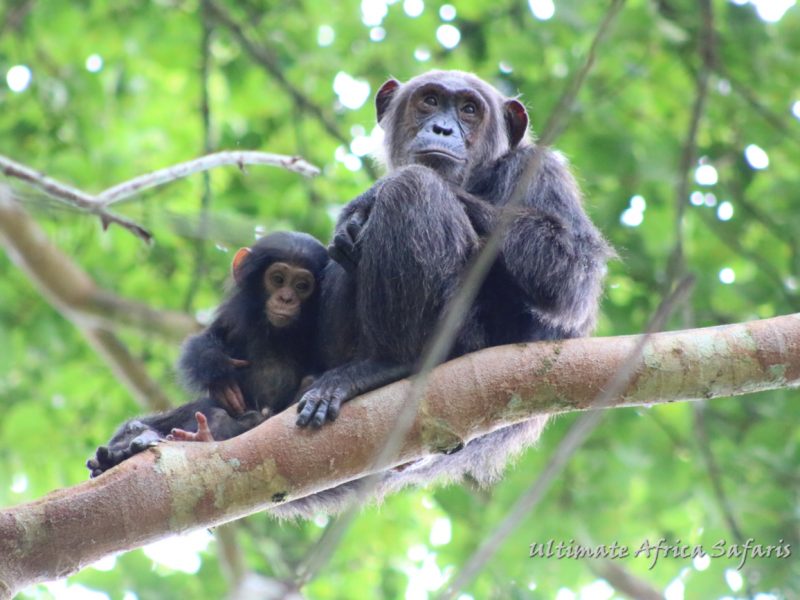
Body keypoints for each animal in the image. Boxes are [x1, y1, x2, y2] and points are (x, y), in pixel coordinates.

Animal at [85, 231, 328, 478]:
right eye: (278, 279)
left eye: (302, 285)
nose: (286, 298)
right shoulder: (231, 316)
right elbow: (203, 343)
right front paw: (220, 375)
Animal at [278, 72, 608, 516]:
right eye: (430, 101)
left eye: (469, 109)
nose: (442, 128)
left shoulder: (540, 171)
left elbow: (571, 272)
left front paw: (370, 196)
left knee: (414, 186)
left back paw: (388, 365)